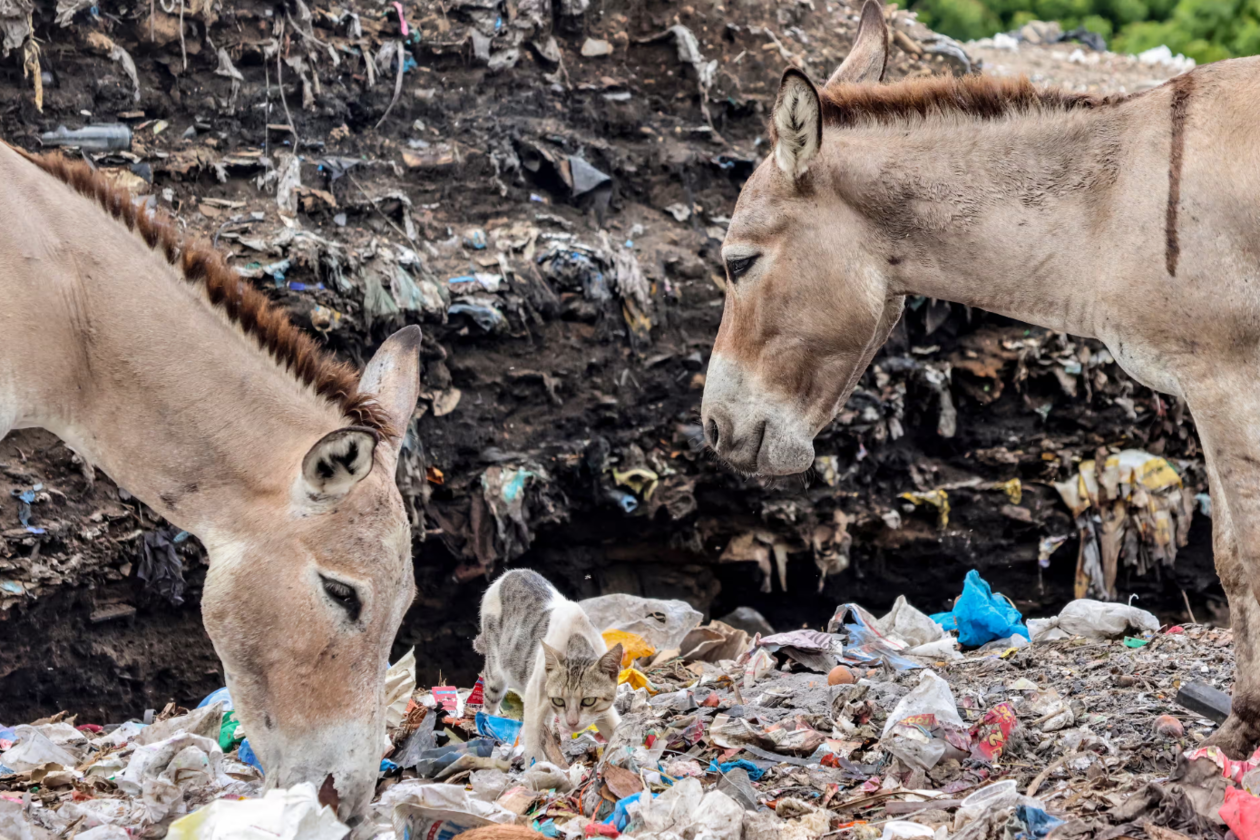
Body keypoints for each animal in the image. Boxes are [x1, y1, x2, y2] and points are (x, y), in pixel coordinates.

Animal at [471, 571, 622, 760]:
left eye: (588, 701)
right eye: (560, 700)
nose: (572, 722)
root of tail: (508, 574)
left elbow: (615, 726)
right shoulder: (534, 696)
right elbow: (533, 744)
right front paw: (538, 766)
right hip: (494, 673)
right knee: (488, 707)